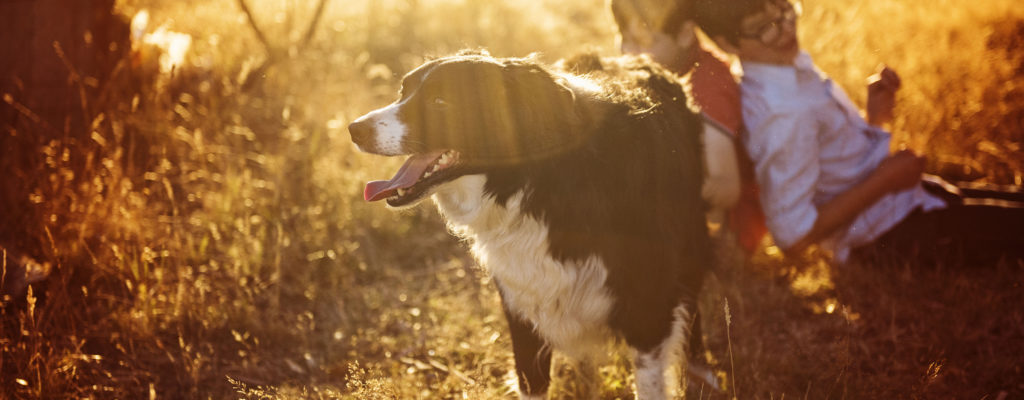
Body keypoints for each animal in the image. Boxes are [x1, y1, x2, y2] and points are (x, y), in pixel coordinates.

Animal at [352, 51, 720, 398]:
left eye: (440, 103)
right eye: (403, 91)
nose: (354, 128)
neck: (538, 183)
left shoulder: (648, 309)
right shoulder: (522, 304)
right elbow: (532, 381)